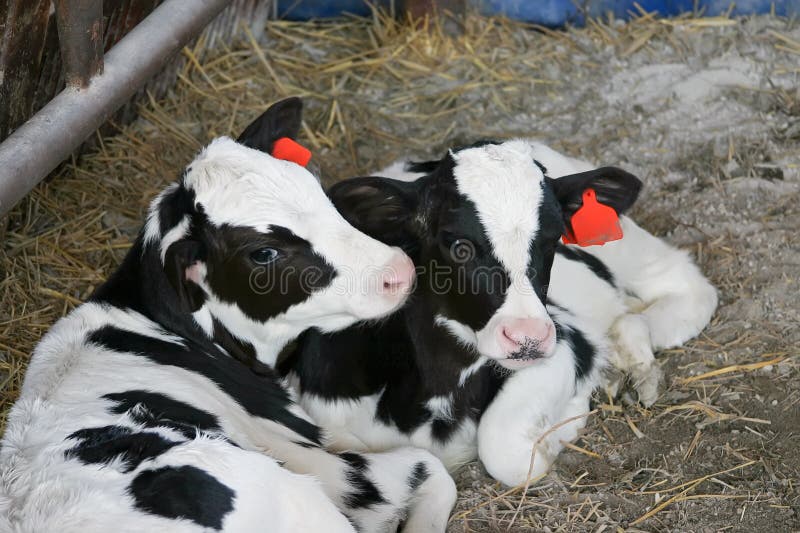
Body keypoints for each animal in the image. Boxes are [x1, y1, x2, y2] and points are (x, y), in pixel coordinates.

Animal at [281, 139, 718, 487]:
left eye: (552, 240)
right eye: (459, 246)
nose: (527, 336)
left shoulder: (564, 342)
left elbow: (505, 451)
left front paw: (561, 427)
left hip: (624, 252)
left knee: (681, 284)